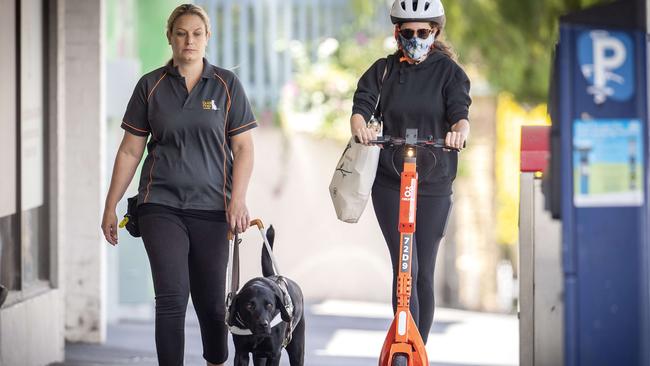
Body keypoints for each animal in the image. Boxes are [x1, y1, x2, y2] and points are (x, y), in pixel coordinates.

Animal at [227, 226, 306, 366]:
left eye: (269, 305)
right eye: (249, 306)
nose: (263, 324)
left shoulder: (274, 354)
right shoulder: (241, 353)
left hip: (297, 349)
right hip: (259, 356)